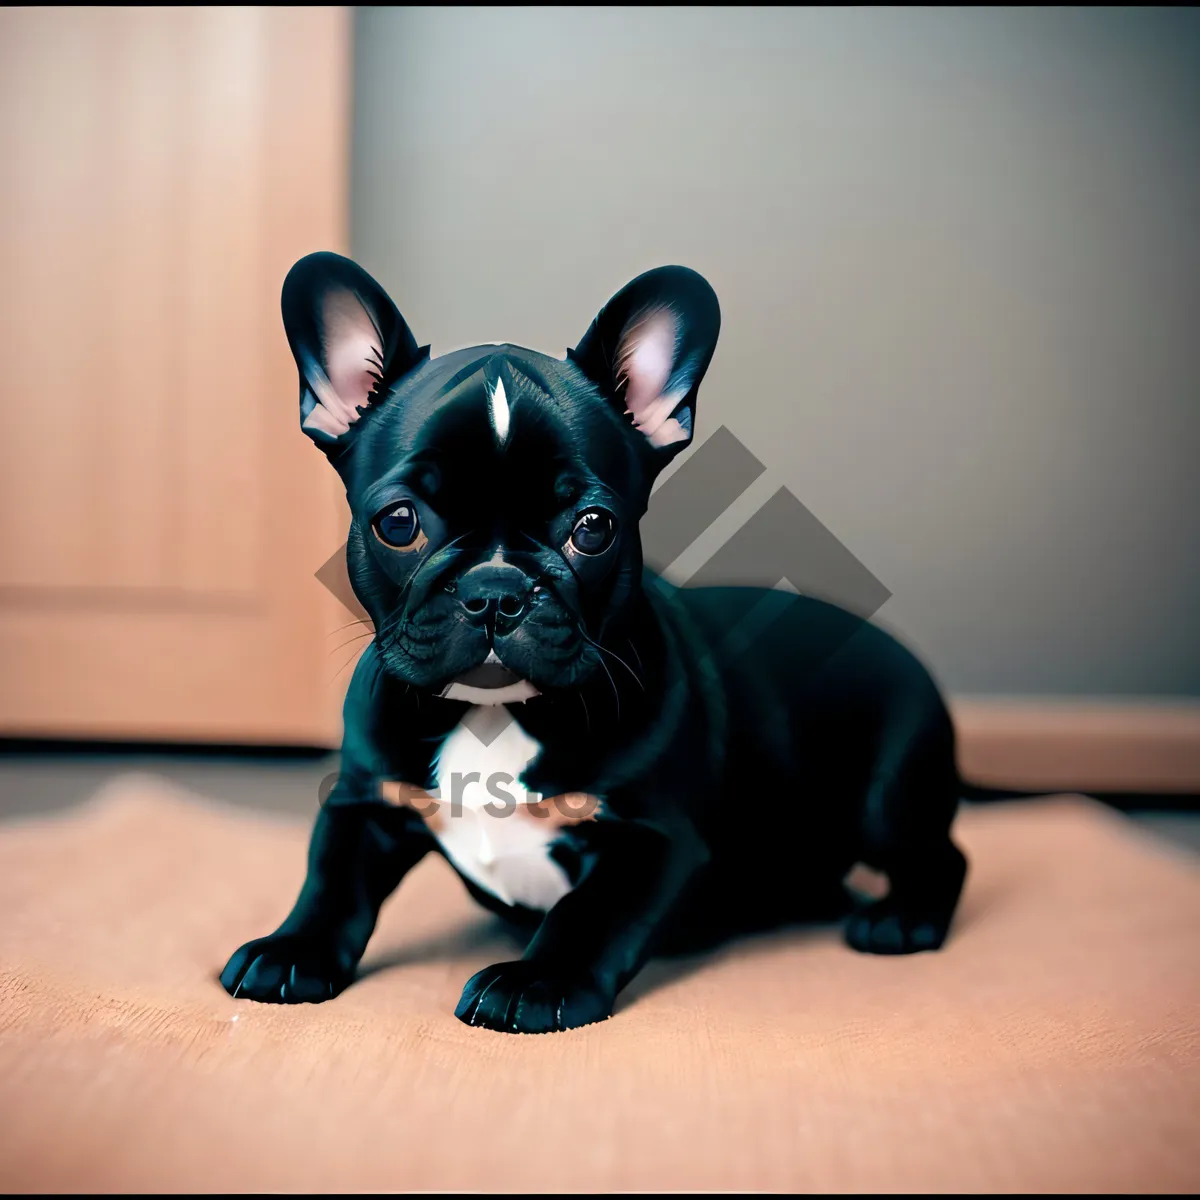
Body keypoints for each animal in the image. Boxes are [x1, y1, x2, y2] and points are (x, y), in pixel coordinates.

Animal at [218, 250, 964, 1032]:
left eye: (593, 528)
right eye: (397, 522)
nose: (496, 589)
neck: (493, 717)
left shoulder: (654, 839)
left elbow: (588, 913)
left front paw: (536, 979)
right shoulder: (363, 804)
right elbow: (330, 881)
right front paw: (291, 946)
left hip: (889, 794)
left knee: (942, 857)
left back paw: (900, 918)